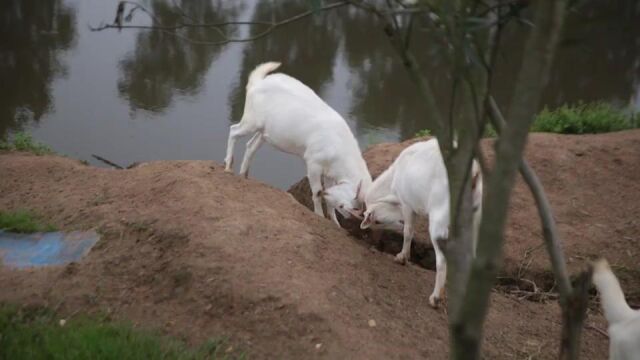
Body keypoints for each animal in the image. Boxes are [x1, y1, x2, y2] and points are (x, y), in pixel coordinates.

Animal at [224, 62, 370, 225]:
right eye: (349, 206)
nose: (350, 216)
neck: (339, 146)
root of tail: (258, 82)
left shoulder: (330, 173)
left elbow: (328, 198)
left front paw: (335, 223)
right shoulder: (313, 163)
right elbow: (317, 192)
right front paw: (319, 216)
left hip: (264, 133)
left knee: (250, 146)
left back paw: (243, 175)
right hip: (252, 120)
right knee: (233, 130)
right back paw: (228, 166)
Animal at [360, 139, 480, 308]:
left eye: (377, 221)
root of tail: (474, 172)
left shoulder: (407, 204)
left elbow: (408, 231)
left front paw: (402, 257)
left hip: (440, 218)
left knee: (442, 259)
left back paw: (435, 298)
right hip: (475, 218)